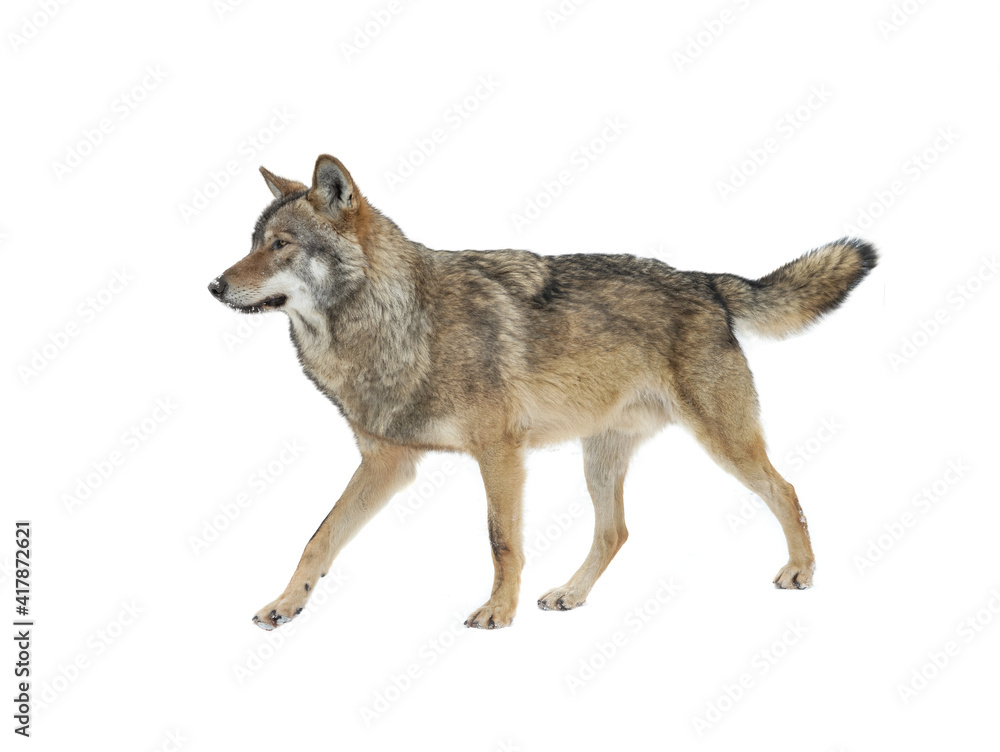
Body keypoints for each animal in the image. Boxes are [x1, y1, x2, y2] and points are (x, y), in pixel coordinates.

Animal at [208, 154, 877, 630]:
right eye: (251, 242)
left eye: (281, 245)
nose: (214, 285)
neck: (396, 322)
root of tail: (707, 281)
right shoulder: (386, 464)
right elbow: (318, 539)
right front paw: (285, 603)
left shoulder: (499, 453)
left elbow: (501, 541)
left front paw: (497, 612)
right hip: (599, 458)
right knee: (615, 532)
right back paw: (570, 595)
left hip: (723, 443)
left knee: (787, 491)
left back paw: (800, 571)